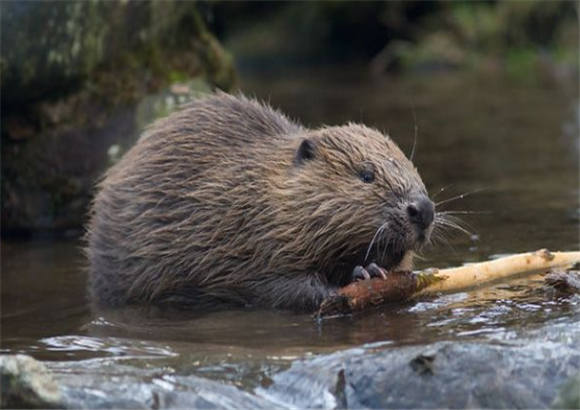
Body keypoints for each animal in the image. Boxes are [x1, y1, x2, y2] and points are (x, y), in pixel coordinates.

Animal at [86, 93, 432, 310]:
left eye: (411, 166)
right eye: (366, 175)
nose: (423, 210)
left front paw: (372, 269)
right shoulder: (240, 243)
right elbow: (268, 285)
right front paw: (355, 278)